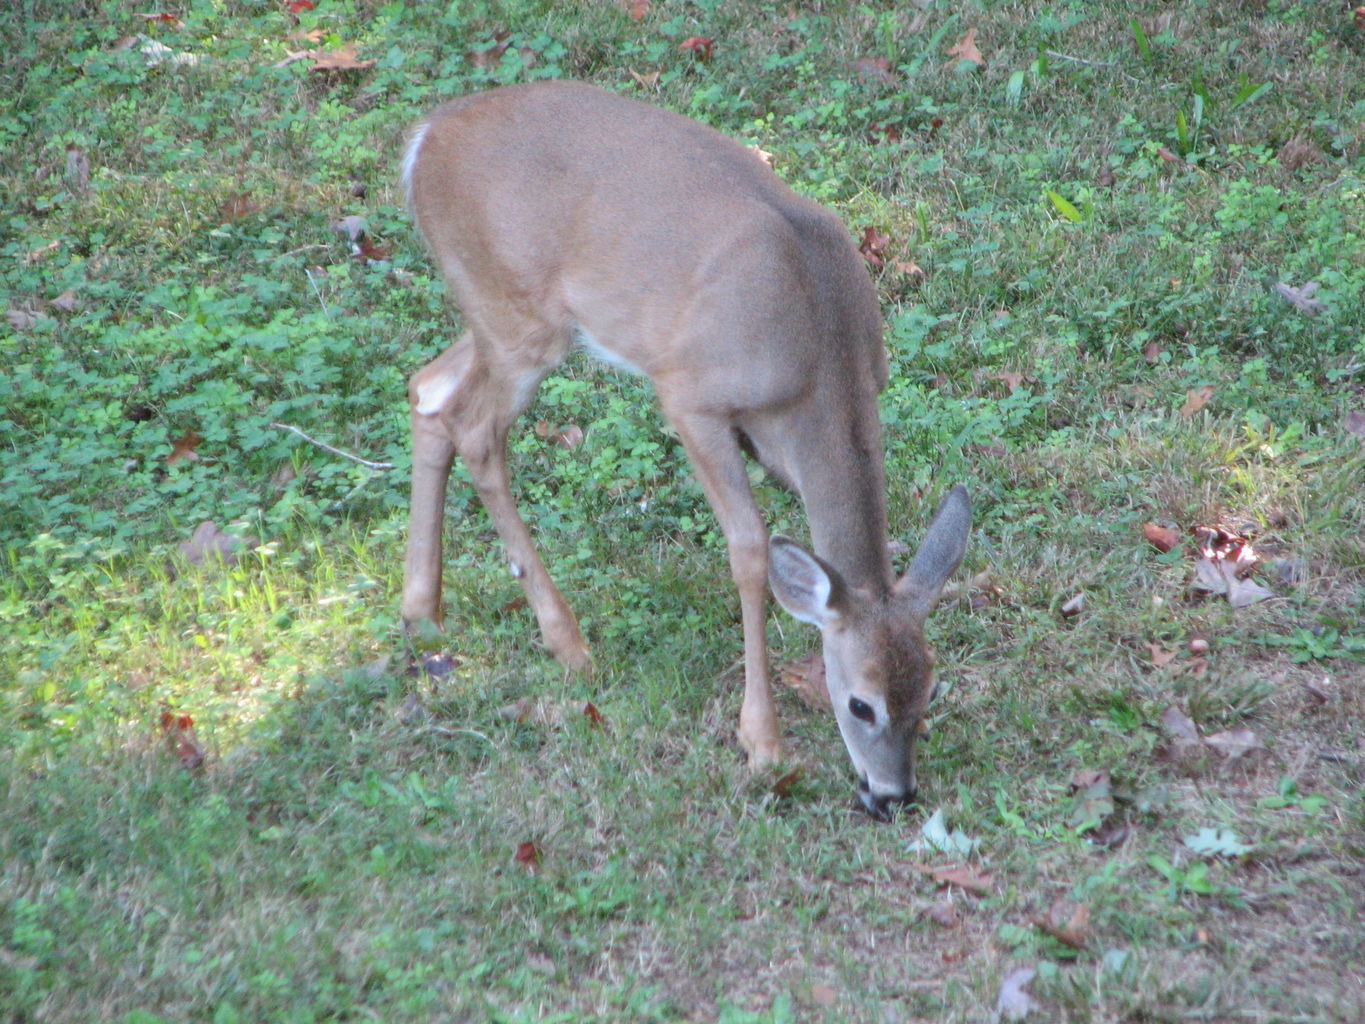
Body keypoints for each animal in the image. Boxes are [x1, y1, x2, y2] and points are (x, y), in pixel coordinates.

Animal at [398, 80, 971, 824]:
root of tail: (422, 142)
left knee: (428, 391)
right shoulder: (691, 396)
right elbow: (751, 549)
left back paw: (423, 617)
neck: (817, 350)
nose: (893, 795)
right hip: (518, 315)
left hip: (500, 318)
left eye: (927, 692)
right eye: (860, 705)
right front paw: (762, 742)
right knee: (473, 427)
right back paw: (568, 642)